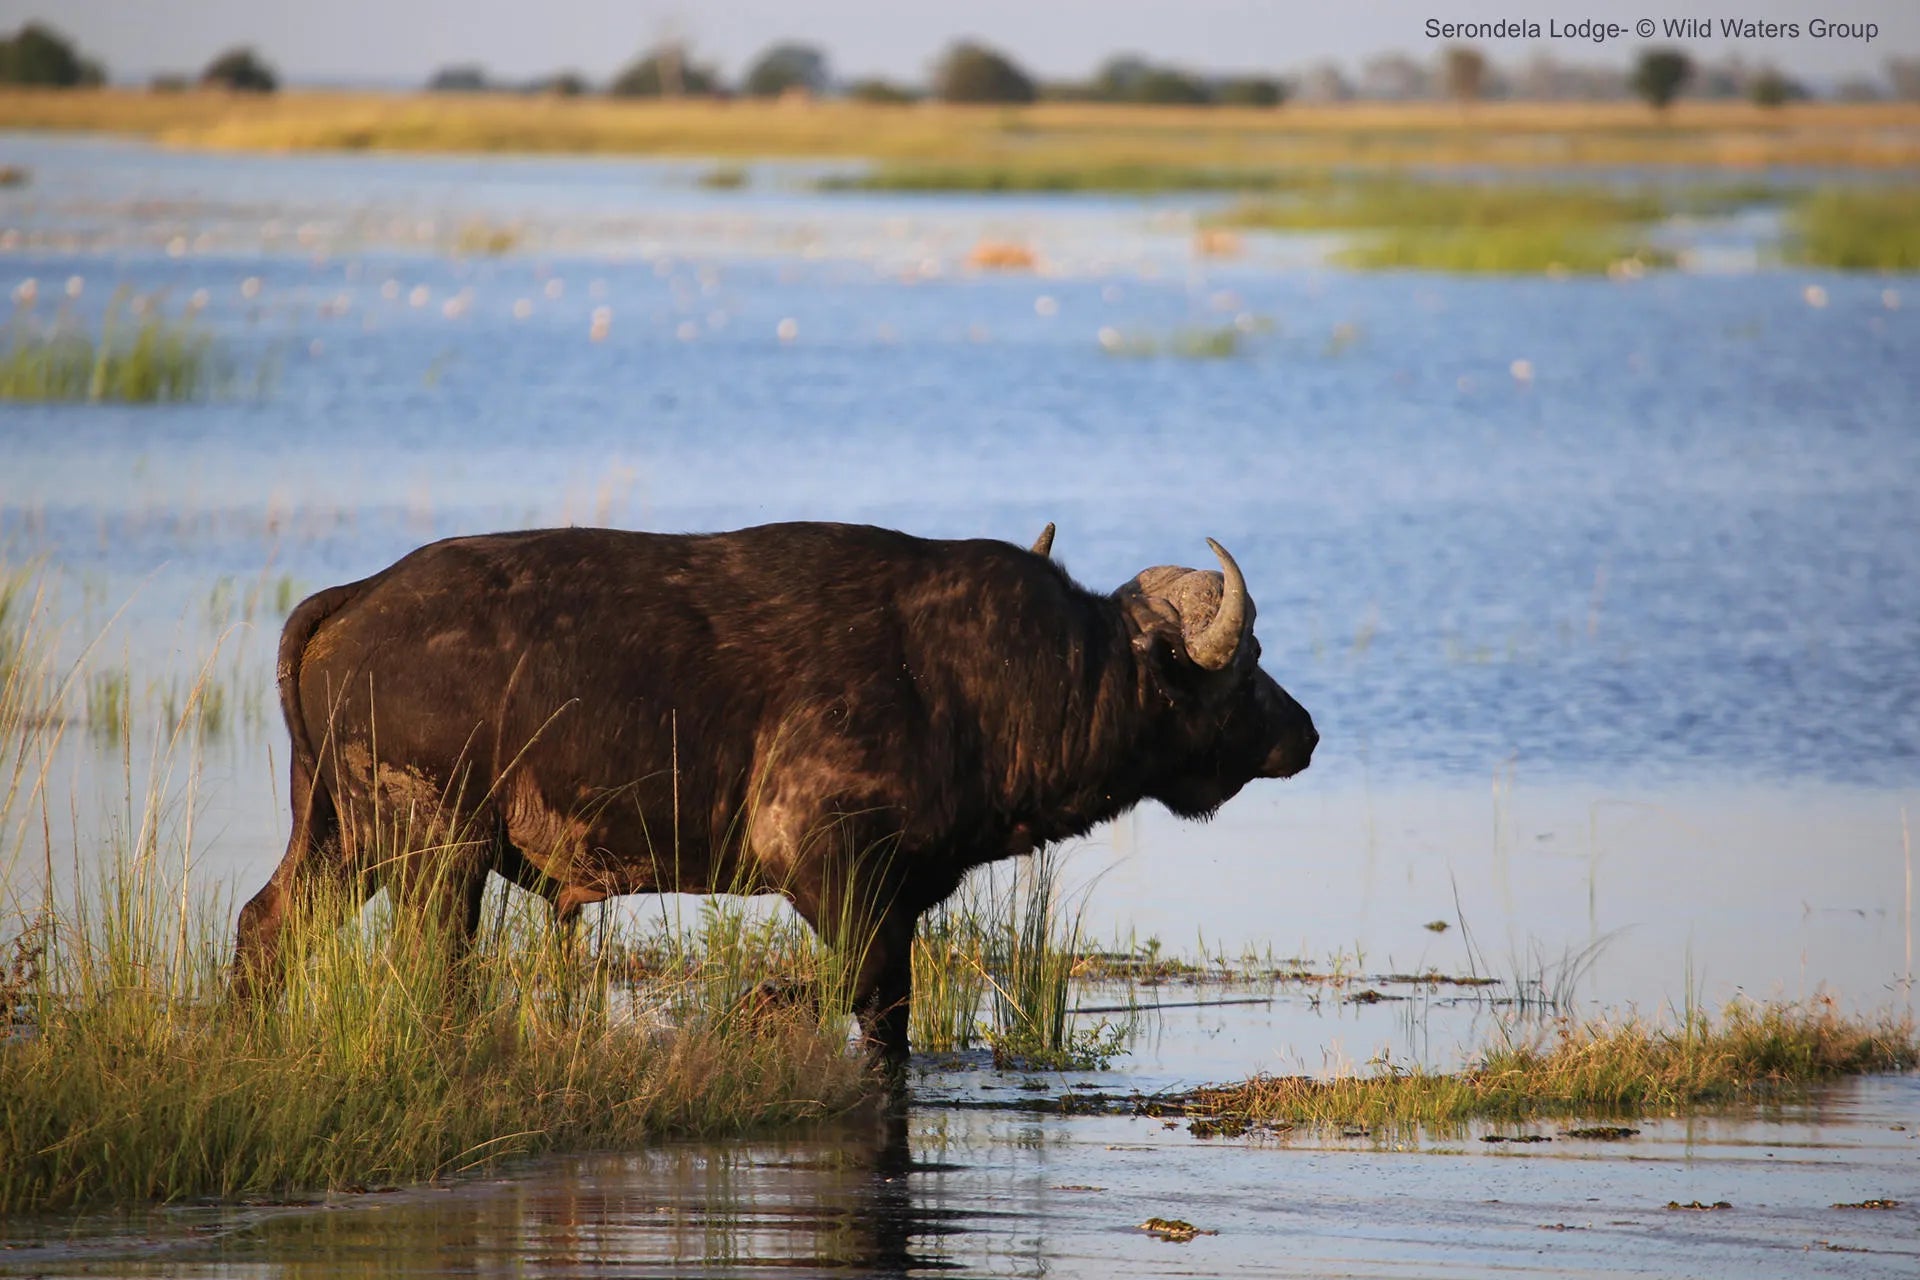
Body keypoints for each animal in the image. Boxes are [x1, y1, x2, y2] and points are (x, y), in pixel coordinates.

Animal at [234, 521, 1316, 1064]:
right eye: (1248, 659)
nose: (1304, 731)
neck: (984, 676)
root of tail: (356, 599)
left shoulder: (894, 890)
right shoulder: (826, 861)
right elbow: (870, 995)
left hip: (340, 841)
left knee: (265, 924)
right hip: (435, 852)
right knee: (429, 969)